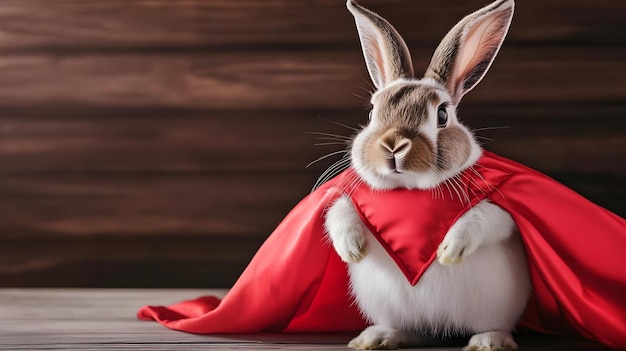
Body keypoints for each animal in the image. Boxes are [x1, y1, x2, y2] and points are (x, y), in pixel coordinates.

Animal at [324, 0, 528, 351]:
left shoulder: (500, 210)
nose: (393, 145)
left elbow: (487, 219)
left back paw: (488, 341)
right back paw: (378, 337)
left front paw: (449, 251)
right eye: (372, 113)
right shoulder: (351, 199)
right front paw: (352, 249)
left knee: (492, 325)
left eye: (442, 114)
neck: (410, 190)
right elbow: (339, 212)